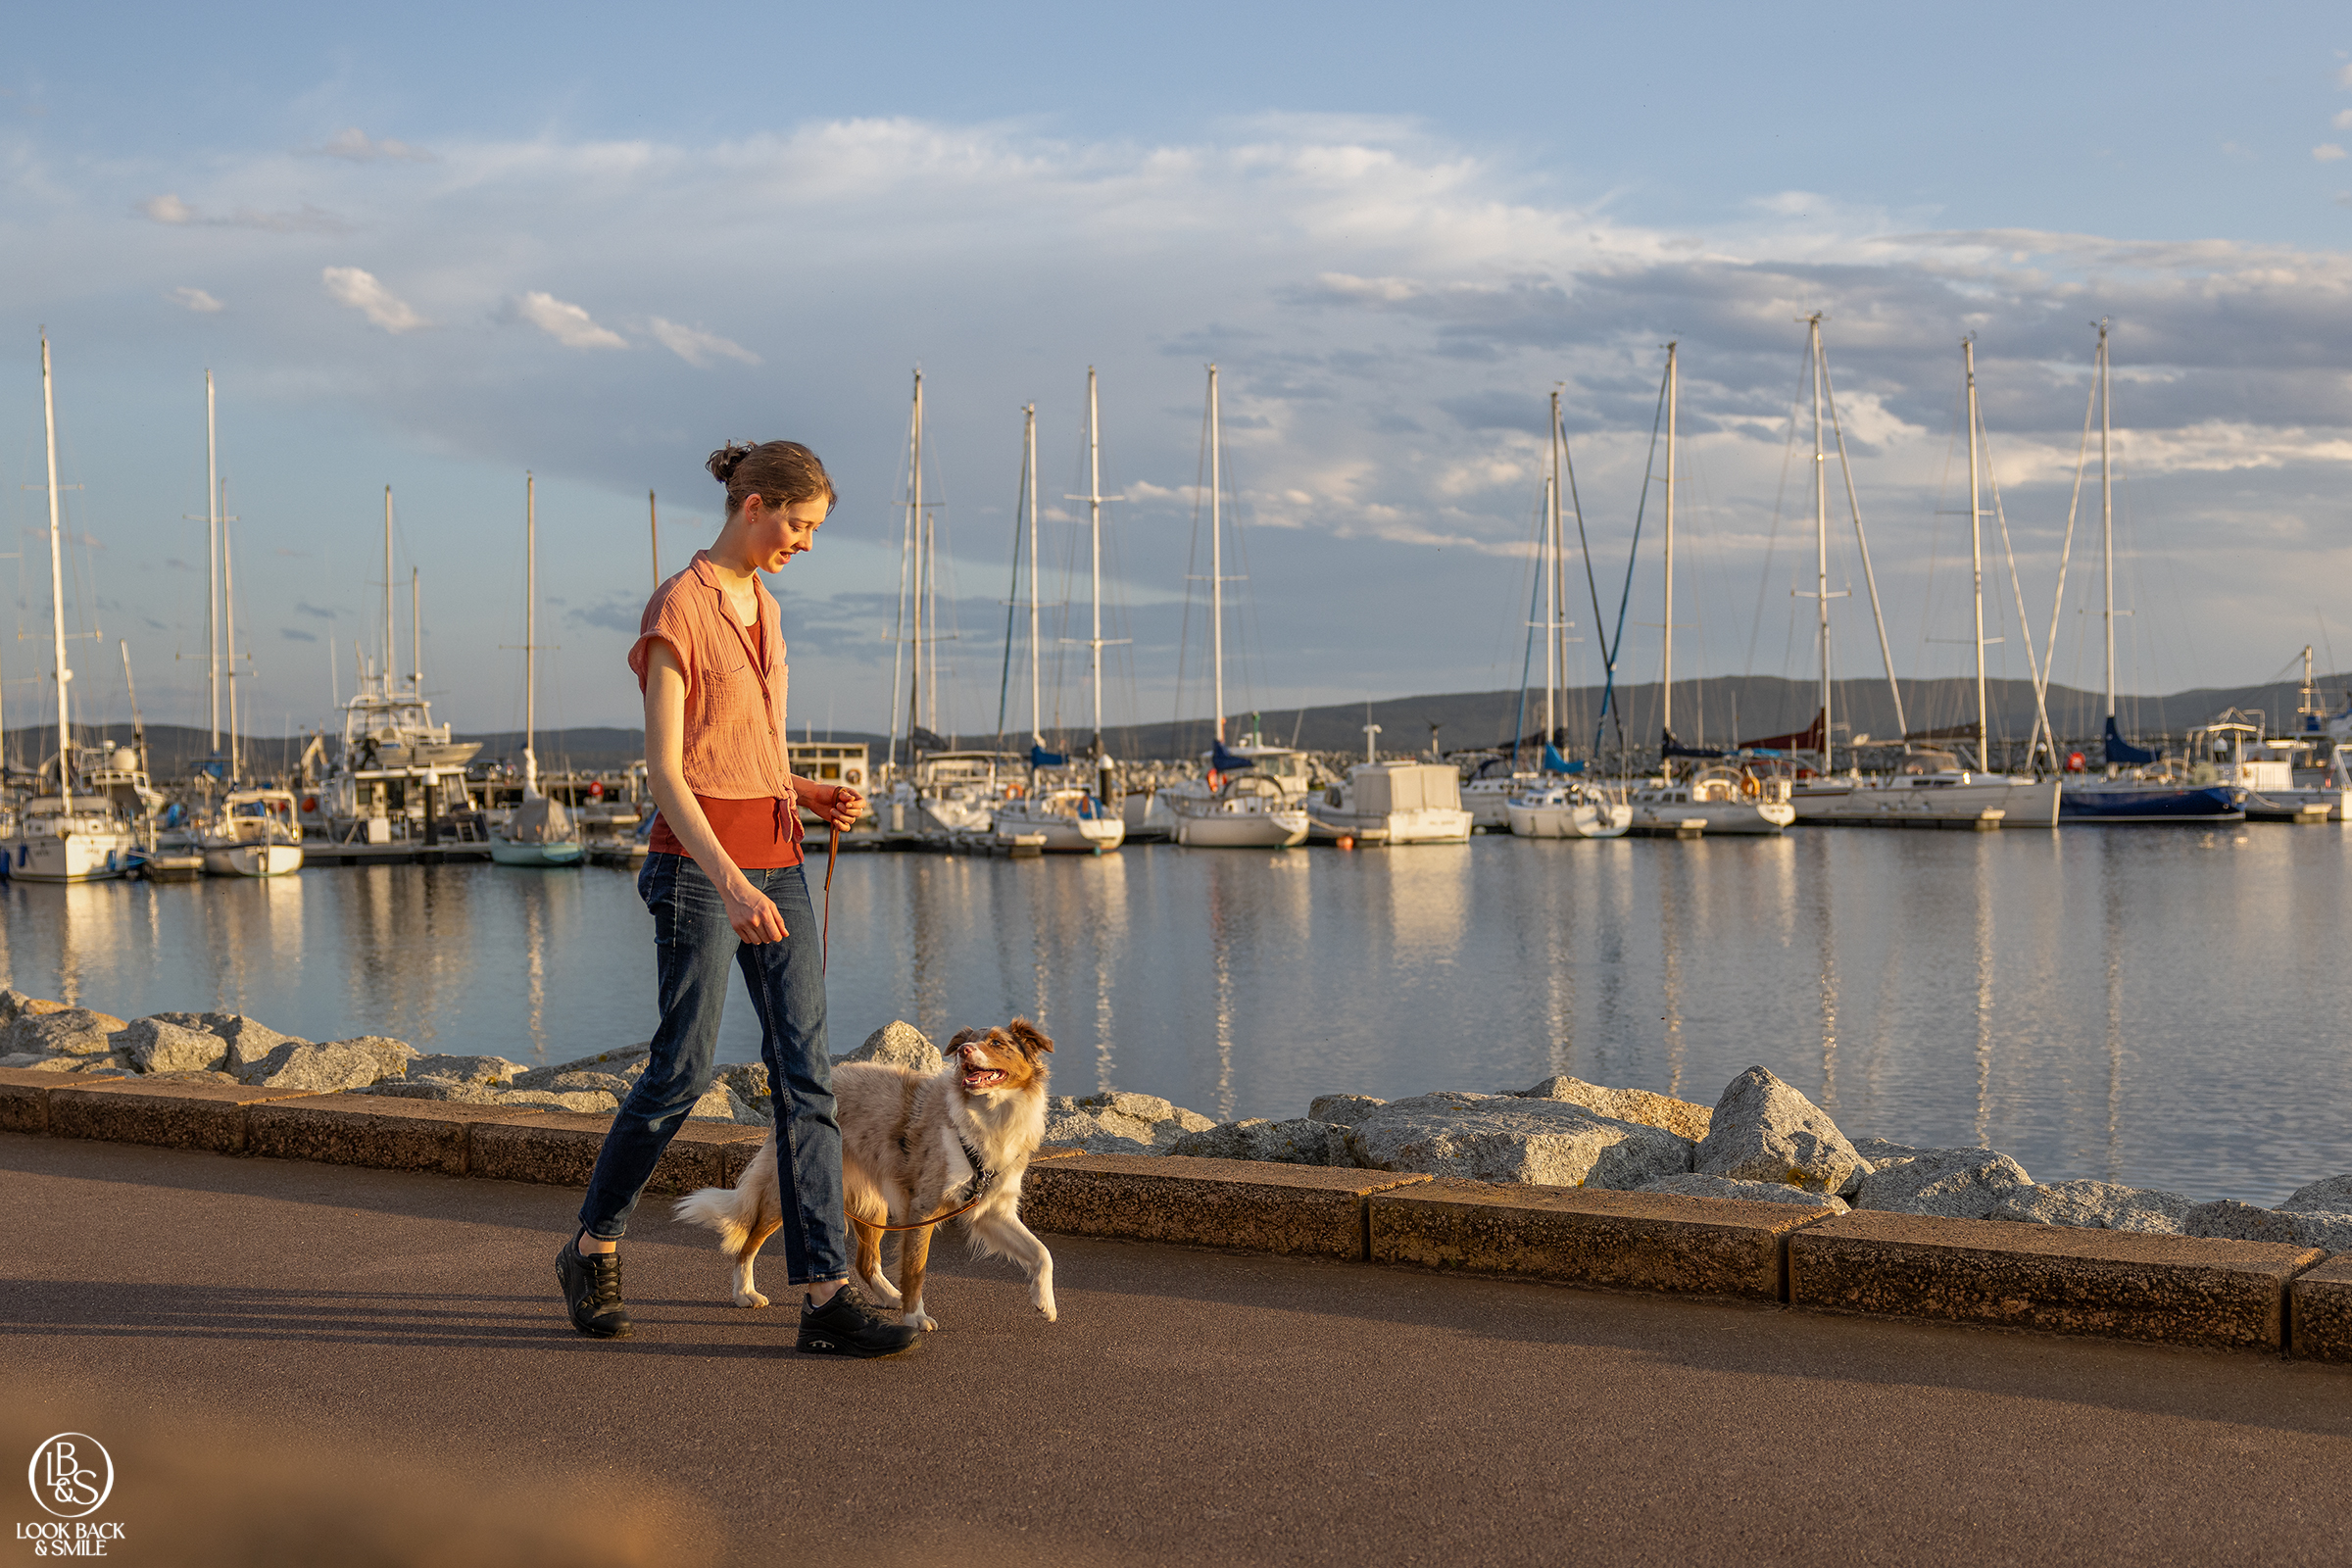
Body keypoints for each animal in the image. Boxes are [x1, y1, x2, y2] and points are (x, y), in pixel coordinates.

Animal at [672, 1024, 1058, 1335]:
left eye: (996, 1043)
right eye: (969, 1042)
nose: (964, 1050)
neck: (990, 1116)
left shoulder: (991, 1209)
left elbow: (1042, 1252)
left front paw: (1045, 1302)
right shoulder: (924, 1206)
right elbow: (916, 1268)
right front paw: (915, 1317)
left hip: (872, 1203)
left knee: (864, 1260)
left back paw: (890, 1296)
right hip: (787, 1193)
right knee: (748, 1242)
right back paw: (745, 1293)